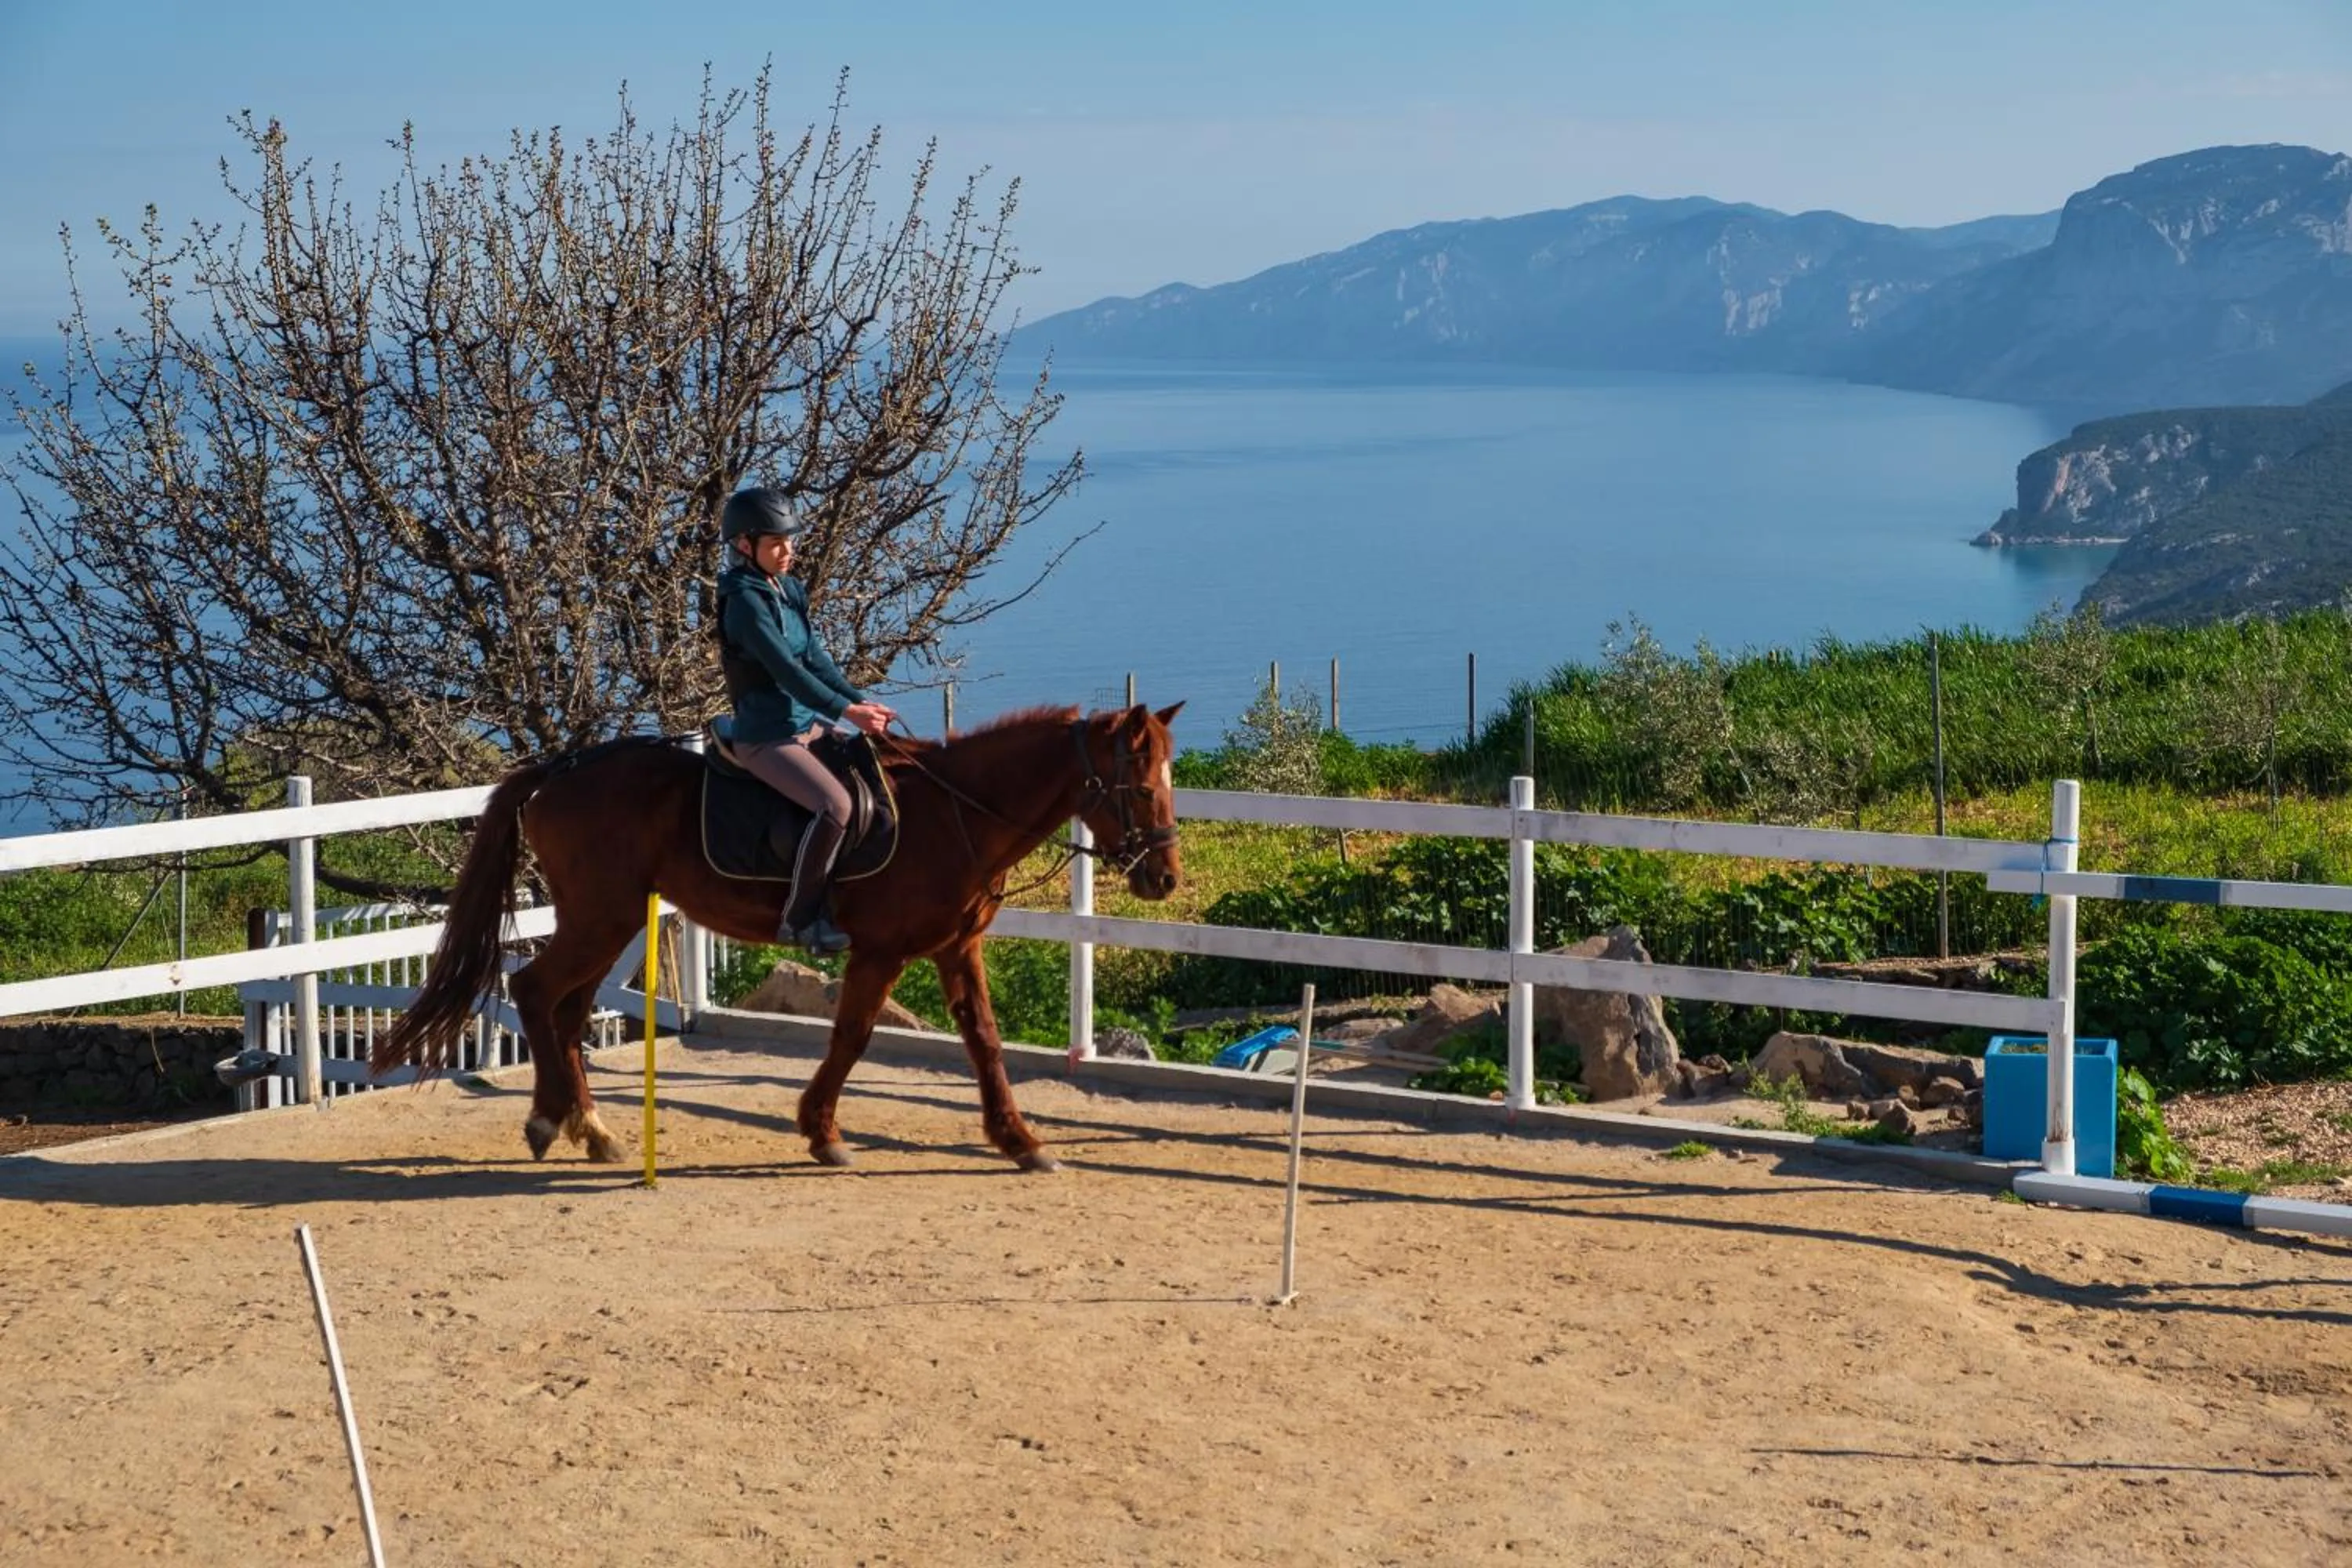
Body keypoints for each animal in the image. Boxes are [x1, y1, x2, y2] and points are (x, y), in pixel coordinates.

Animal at [369, 702, 1185, 1172]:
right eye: (1143, 787)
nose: (1165, 879)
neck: (957, 815)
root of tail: (560, 769)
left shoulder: (958, 949)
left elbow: (983, 1040)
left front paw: (1020, 1141)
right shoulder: (881, 951)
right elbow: (852, 1035)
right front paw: (822, 1132)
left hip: (612, 919)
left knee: (563, 1011)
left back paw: (587, 1128)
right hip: (603, 916)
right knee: (535, 992)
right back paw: (553, 1121)